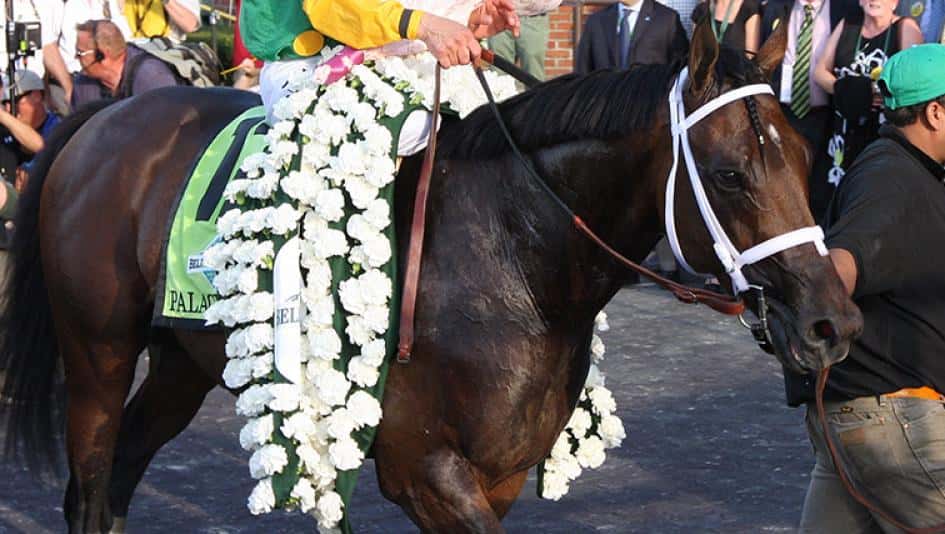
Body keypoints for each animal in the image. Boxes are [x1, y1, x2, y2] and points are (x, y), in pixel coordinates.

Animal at [1, 23, 862, 533]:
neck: (511, 254)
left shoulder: (501, 471)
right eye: (727, 174)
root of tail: (104, 118)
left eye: (806, 159)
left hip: (185, 360)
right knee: (91, 479)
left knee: (117, 478)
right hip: (98, 354)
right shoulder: (424, 469)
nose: (832, 323)